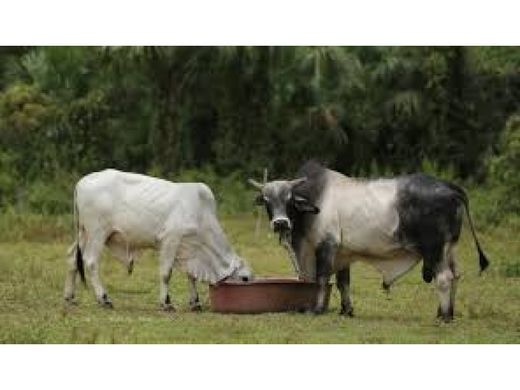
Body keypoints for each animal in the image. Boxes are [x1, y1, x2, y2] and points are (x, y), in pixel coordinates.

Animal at [64, 169, 252, 310]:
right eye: (245, 279)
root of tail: (81, 182)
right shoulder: (170, 240)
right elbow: (166, 274)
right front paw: (166, 303)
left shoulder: (189, 249)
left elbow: (191, 276)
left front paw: (195, 302)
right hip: (97, 233)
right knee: (91, 261)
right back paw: (104, 299)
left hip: (83, 234)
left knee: (72, 259)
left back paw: (69, 297)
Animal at [250, 160, 490, 322]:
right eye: (266, 201)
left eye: (289, 200)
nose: (280, 223)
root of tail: (451, 188)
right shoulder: (342, 253)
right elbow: (343, 283)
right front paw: (346, 311)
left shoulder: (326, 246)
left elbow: (321, 278)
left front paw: (317, 310)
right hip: (449, 248)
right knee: (455, 275)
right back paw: (446, 312)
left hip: (434, 248)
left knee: (444, 278)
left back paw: (443, 317)